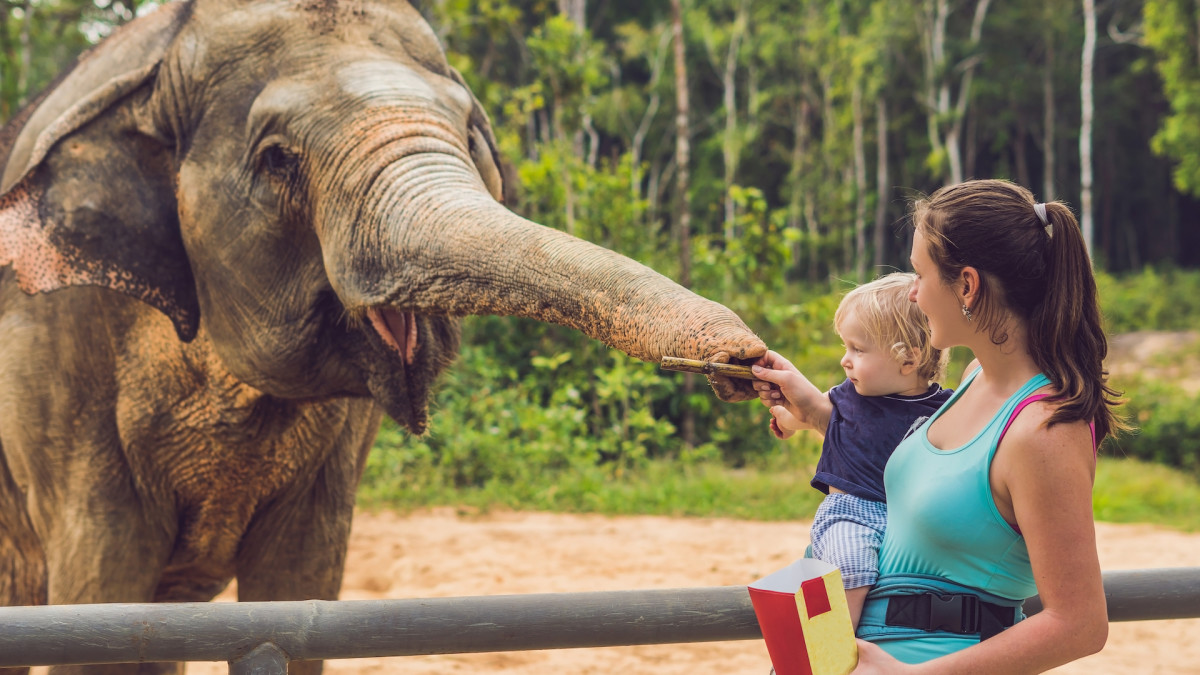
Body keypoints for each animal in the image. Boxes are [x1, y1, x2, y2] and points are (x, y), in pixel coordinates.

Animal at [0, 0, 768, 667]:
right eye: (277, 157)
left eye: (469, 134)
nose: (747, 360)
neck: (162, 53)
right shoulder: (58, 367)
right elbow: (102, 591)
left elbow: (299, 591)